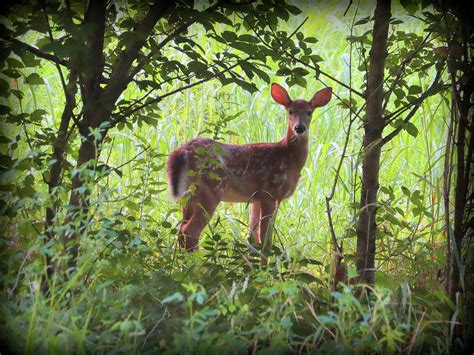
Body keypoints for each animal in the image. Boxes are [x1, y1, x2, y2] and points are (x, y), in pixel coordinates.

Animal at [167, 82, 334, 256]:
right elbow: (265, 239)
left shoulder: (256, 198)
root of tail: (181, 152)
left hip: (187, 196)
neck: (289, 158)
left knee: (180, 231)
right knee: (190, 231)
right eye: (290, 111)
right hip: (211, 189)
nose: (299, 128)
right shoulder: (270, 193)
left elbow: (253, 238)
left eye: (309, 112)